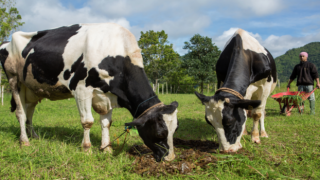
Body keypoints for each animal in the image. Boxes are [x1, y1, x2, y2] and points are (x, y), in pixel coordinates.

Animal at [0, 22, 178, 162]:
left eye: (175, 130)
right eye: (160, 133)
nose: (170, 158)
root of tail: (6, 42)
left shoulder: (108, 95)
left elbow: (106, 122)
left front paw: (106, 149)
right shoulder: (81, 89)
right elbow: (87, 121)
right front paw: (86, 149)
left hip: (31, 88)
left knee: (29, 111)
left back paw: (34, 136)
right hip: (14, 80)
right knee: (21, 113)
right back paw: (24, 141)